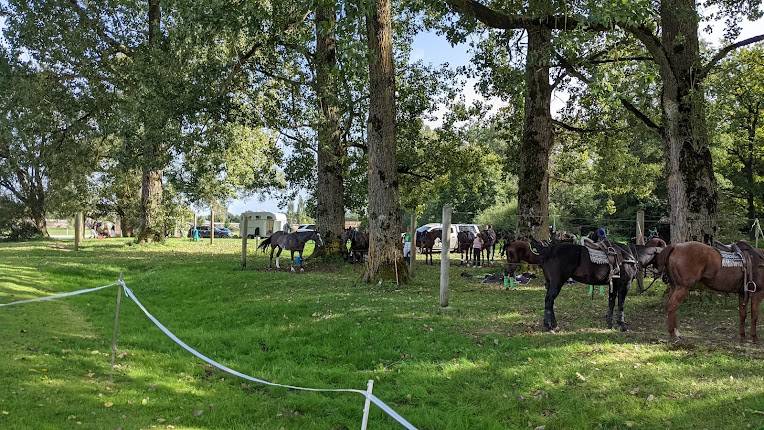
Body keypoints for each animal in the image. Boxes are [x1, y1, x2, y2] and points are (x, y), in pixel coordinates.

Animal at [508, 240, 664, 330]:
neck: (630, 256)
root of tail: (548, 250)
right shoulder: (624, 285)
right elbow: (621, 304)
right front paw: (622, 325)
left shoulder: (613, 285)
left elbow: (611, 302)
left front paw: (609, 323)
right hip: (557, 283)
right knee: (549, 301)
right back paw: (549, 326)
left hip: (550, 283)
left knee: (549, 302)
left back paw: (553, 324)